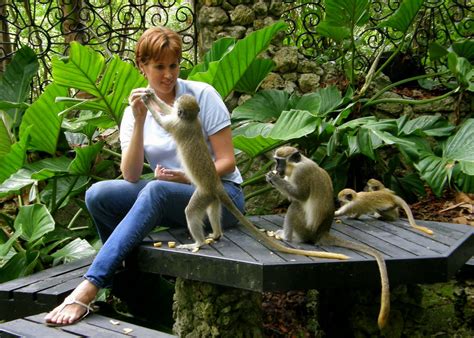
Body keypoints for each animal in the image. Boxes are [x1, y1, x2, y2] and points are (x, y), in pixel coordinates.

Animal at [141, 88, 348, 260]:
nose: (176, 100)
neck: (190, 120)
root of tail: (215, 183)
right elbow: (167, 110)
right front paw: (151, 96)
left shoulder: (178, 125)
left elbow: (163, 121)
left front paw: (147, 103)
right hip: (212, 195)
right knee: (213, 209)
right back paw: (217, 233)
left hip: (204, 193)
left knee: (191, 212)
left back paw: (198, 242)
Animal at [264, 147, 390, 328]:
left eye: (279, 161)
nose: (277, 168)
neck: (296, 165)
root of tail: (321, 233)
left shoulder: (301, 173)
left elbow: (299, 196)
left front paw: (272, 177)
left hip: (305, 230)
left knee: (295, 205)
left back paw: (286, 237)